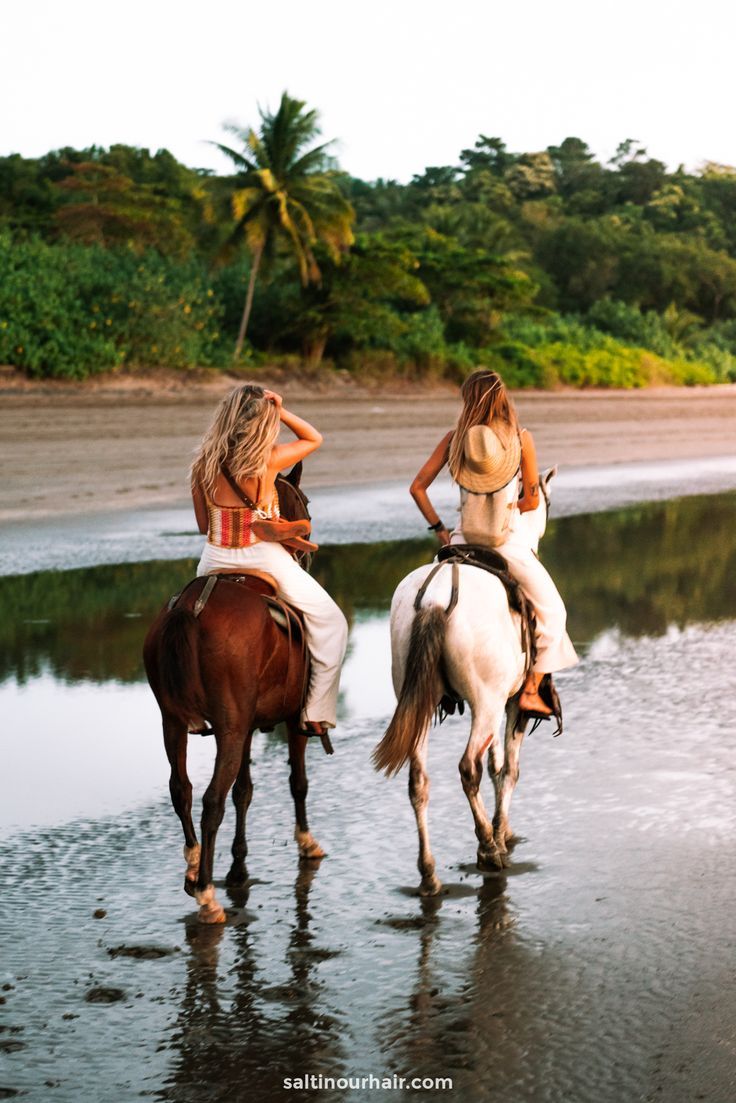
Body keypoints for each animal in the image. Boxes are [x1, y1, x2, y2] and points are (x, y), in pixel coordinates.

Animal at [142, 461, 326, 926]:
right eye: (305, 502)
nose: (307, 551)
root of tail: (190, 608)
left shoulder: (245, 724)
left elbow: (245, 789)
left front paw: (239, 864)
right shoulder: (292, 717)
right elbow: (297, 781)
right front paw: (306, 841)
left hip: (176, 722)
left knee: (182, 789)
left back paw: (194, 868)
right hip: (227, 727)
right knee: (211, 799)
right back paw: (206, 894)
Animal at [375, 467, 558, 895]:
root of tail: (435, 599)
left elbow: (496, 765)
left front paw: (501, 831)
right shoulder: (513, 704)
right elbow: (508, 769)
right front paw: (501, 833)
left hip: (418, 702)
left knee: (418, 780)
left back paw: (429, 875)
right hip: (485, 703)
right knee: (467, 768)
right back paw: (488, 849)